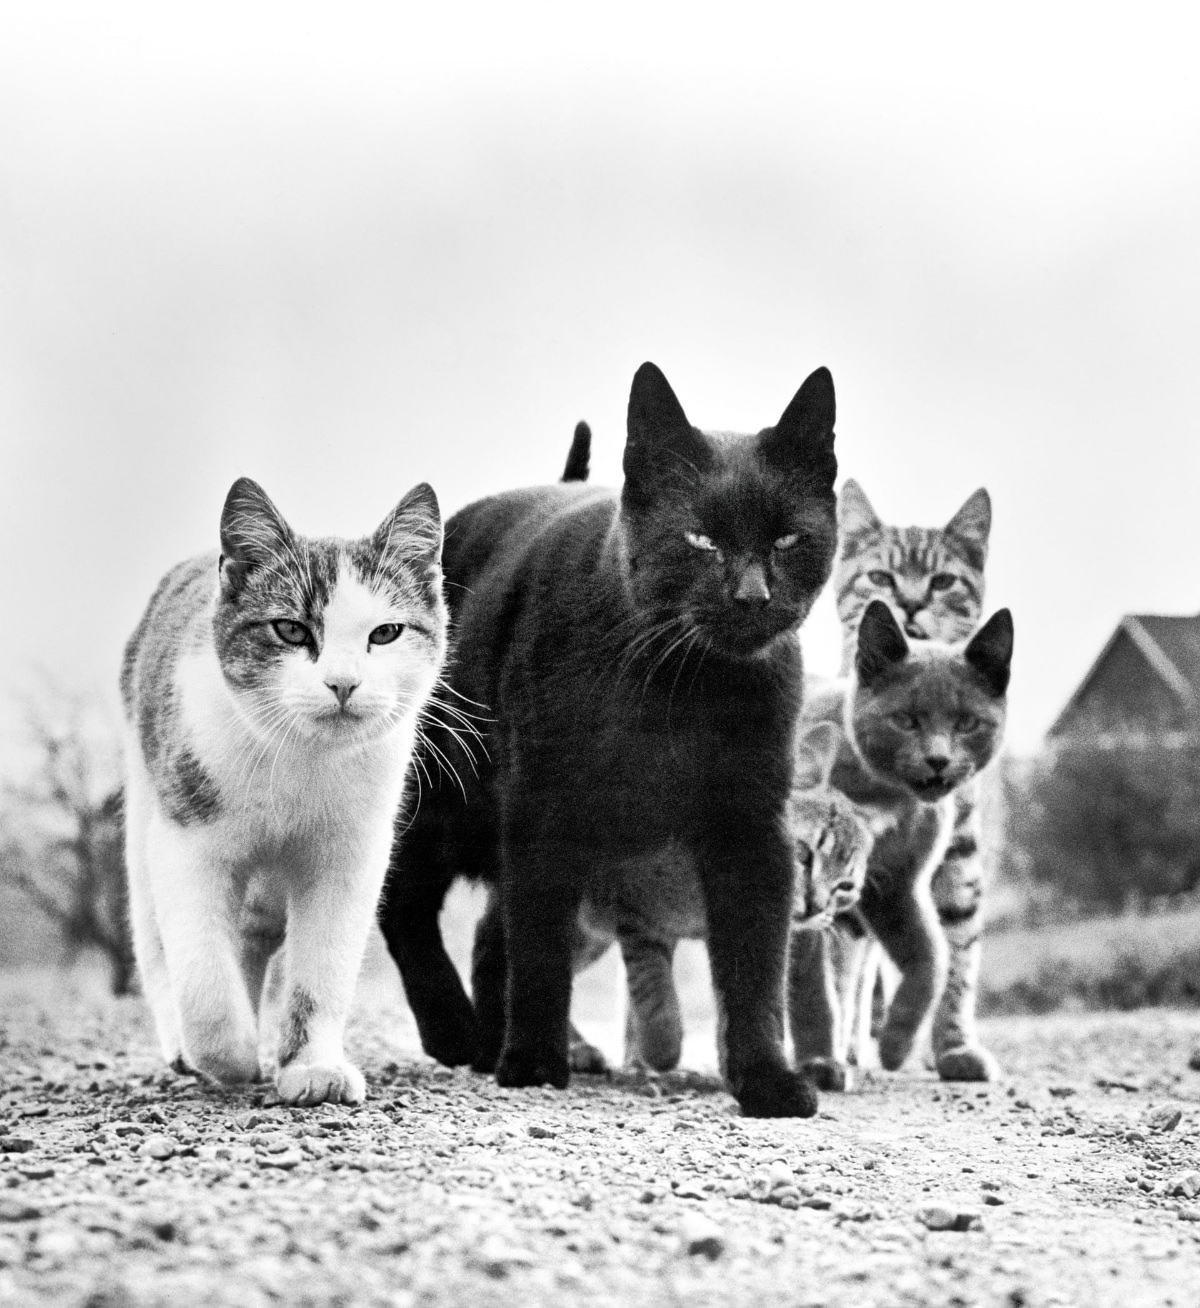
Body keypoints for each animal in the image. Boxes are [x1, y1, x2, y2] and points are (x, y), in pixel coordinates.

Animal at [121, 478, 444, 1103]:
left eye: (386, 634)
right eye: (291, 629)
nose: (343, 683)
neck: (300, 763)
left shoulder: (350, 856)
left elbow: (323, 968)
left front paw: (311, 1067)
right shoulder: (186, 842)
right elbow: (200, 970)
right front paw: (228, 1056)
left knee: (251, 929)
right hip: (144, 793)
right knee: (155, 938)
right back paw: (184, 1049)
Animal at [379, 358, 837, 1114]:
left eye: (787, 540)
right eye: (701, 540)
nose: (752, 596)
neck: (684, 688)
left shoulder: (751, 826)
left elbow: (755, 965)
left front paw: (767, 1078)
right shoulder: (542, 809)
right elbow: (540, 944)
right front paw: (534, 1061)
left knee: (486, 935)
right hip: (445, 801)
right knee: (405, 903)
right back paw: (459, 1034)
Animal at [790, 599, 1015, 1083]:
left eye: (967, 723)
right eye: (905, 720)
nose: (938, 760)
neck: (883, 797)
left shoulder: (894, 887)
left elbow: (934, 960)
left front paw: (896, 1043)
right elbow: (810, 985)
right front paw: (817, 1060)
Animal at [827, 481, 999, 1083]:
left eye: (943, 582)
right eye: (880, 577)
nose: (910, 606)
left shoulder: (960, 855)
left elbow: (959, 956)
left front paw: (954, 1047)